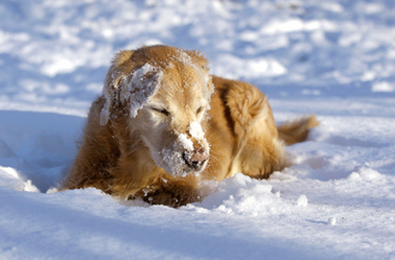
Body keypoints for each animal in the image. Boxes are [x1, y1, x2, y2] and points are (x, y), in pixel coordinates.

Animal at [62, 45, 318, 207]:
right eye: (160, 110)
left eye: (200, 109)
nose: (197, 160)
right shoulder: (80, 177)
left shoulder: (187, 189)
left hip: (246, 100)